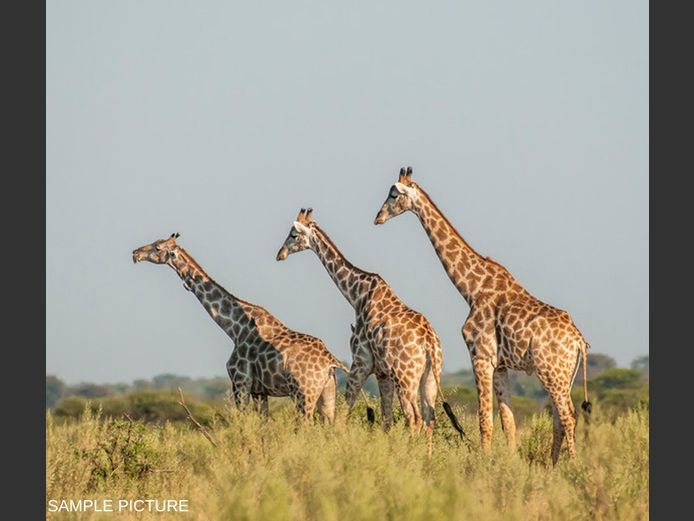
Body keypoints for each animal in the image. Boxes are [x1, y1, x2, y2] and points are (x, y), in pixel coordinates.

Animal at [132, 232, 348, 422]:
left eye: (157, 247)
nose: (135, 253)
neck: (233, 329)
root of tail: (331, 361)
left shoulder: (240, 383)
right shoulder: (260, 391)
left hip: (303, 393)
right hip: (327, 394)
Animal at [276, 208, 444, 444]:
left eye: (293, 235)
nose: (280, 254)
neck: (356, 295)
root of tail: (429, 343)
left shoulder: (361, 362)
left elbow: (342, 414)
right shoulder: (382, 372)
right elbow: (386, 420)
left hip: (406, 377)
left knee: (415, 419)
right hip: (430, 377)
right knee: (429, 419)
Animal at [374, 168, 591, 464]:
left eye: (394, 194)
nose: (378, 217)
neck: (471, 289)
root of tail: (578, 341)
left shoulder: (480, 356)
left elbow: (484, 419)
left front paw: (484, 463)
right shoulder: (500, 365)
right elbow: (508, 422)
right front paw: (509, 463)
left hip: (552, 371)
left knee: (568, 416)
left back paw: (573, 465)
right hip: (564, 374)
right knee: (561, 416)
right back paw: (552, 466)